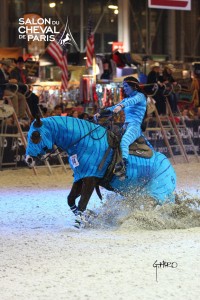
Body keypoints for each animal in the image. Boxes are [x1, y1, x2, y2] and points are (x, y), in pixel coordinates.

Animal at [25, 116, 177, 226]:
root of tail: (171, 171)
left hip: (154, 194)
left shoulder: (90, 179)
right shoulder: (80, 177)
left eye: (35, 135)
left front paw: (79, 224)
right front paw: (88, 217)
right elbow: (71, 200)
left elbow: (82, 203)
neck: (82, 142)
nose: (28, 159)